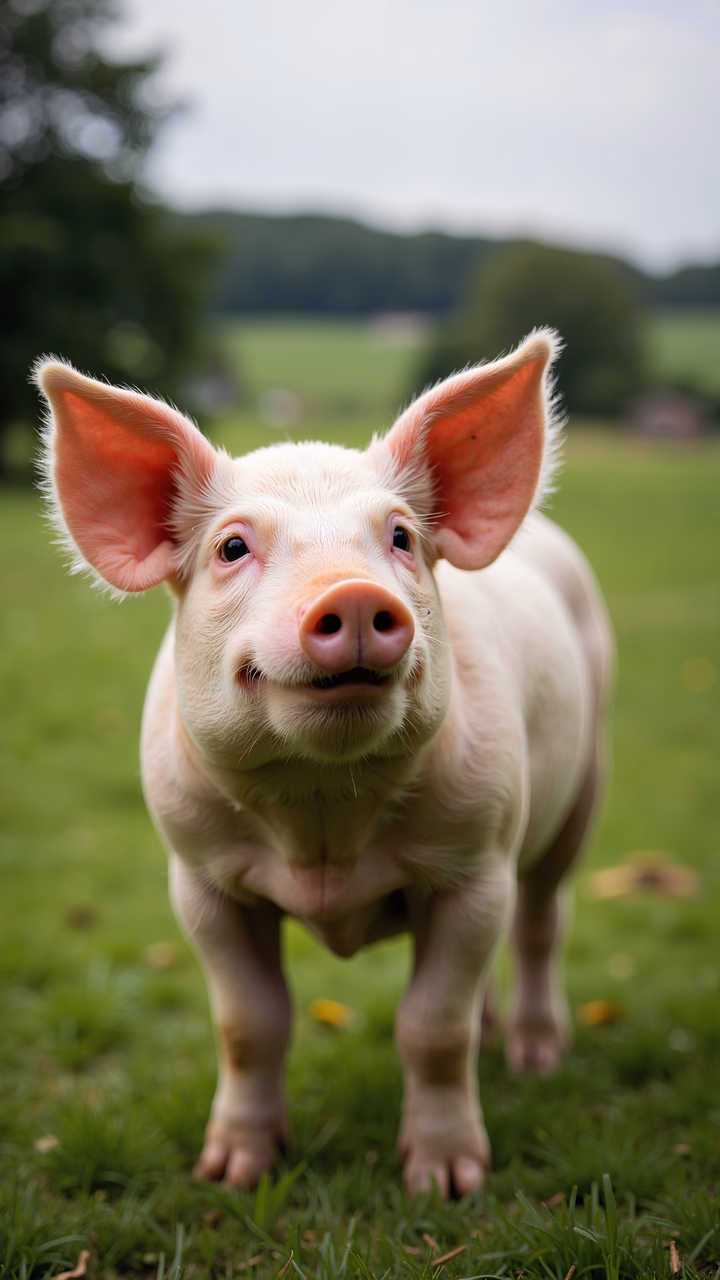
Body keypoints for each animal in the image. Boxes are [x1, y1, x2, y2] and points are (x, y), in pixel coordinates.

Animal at [35, 329, 612, 1199]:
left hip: (580, 785)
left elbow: (430, 1026)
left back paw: (536, 1059)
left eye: (401, 538)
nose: (354, 595)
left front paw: (446, 1185)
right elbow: (250, 1022)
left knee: (543, 920)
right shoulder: (197, 877)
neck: (322, 823)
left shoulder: (477, 864)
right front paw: (231, 1175)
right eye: (233, 546)